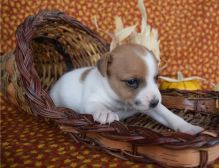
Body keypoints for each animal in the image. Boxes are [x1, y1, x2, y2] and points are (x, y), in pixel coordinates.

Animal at [49, 43, 204, 135]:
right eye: (132, 82)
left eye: (156, 77)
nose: (155, 102)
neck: (121, 102)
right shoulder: (91, 101)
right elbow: (97, 105)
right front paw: (106, 113)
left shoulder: (153, 108)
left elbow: (169, 115)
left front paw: (188, 127)